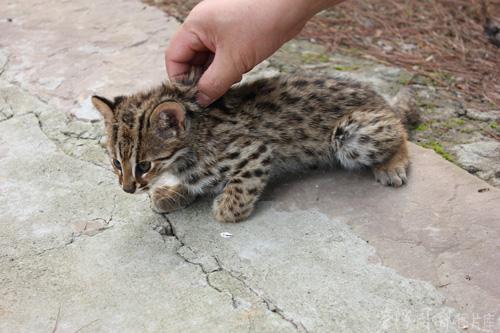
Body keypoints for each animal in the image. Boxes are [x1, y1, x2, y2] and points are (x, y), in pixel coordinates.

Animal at [93, 69, 414, 223]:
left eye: (144, 165)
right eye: (116, 163)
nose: (127, 189)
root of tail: (379, 98)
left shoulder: (255, 152)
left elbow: (236, 195)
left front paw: (224, 208)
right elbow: (195, 182)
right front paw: (174, 193)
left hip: (350, 132)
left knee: (400, 130)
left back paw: (392, 164)